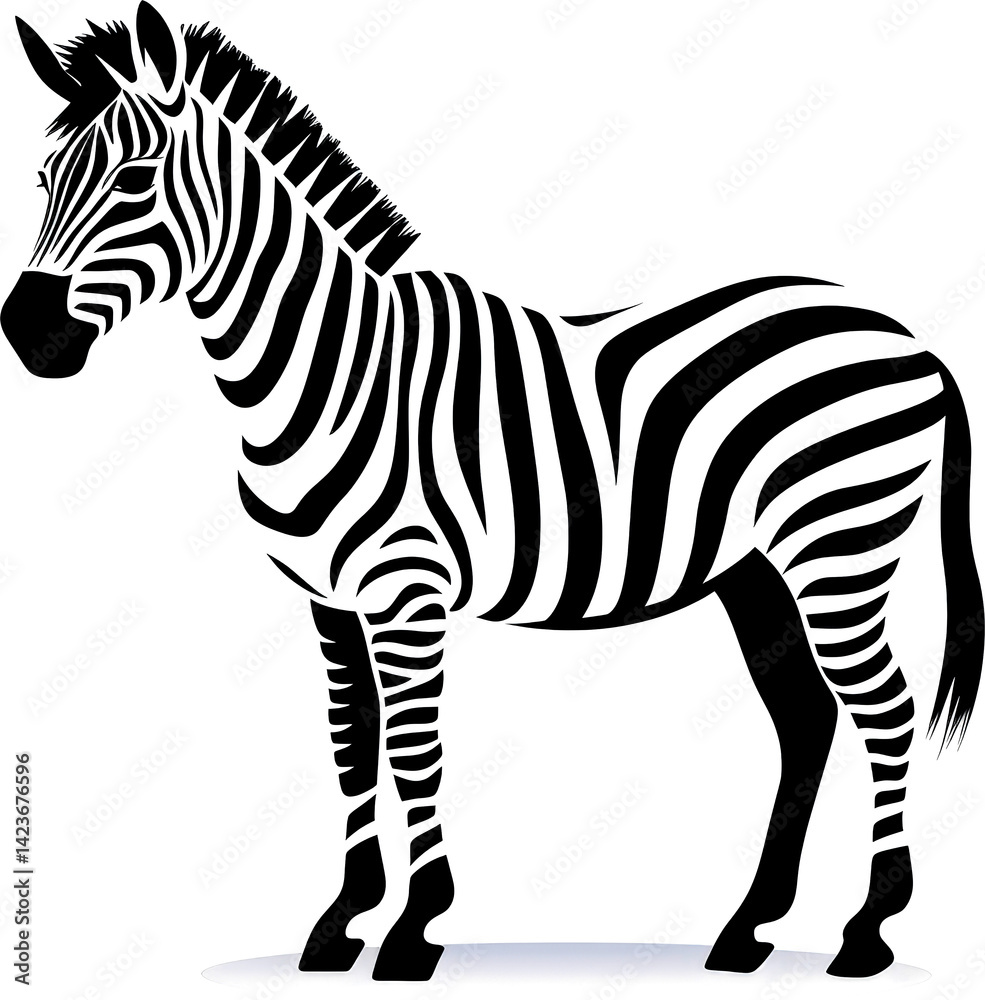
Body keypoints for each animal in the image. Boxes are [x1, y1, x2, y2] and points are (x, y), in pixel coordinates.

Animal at [2, 3, 981, 983]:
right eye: (44, 178)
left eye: (134, 181)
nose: (27, 333)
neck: (328, 371)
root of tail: (905, 335)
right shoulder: (330, 599)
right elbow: (353, 748)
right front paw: (341, 922)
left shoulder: (407, 592)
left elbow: (412, 751)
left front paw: (412, 928)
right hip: (756, 569)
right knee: (807, 717)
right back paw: (747, 930)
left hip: (839, 546)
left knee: (883, 711)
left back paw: (865, 931)